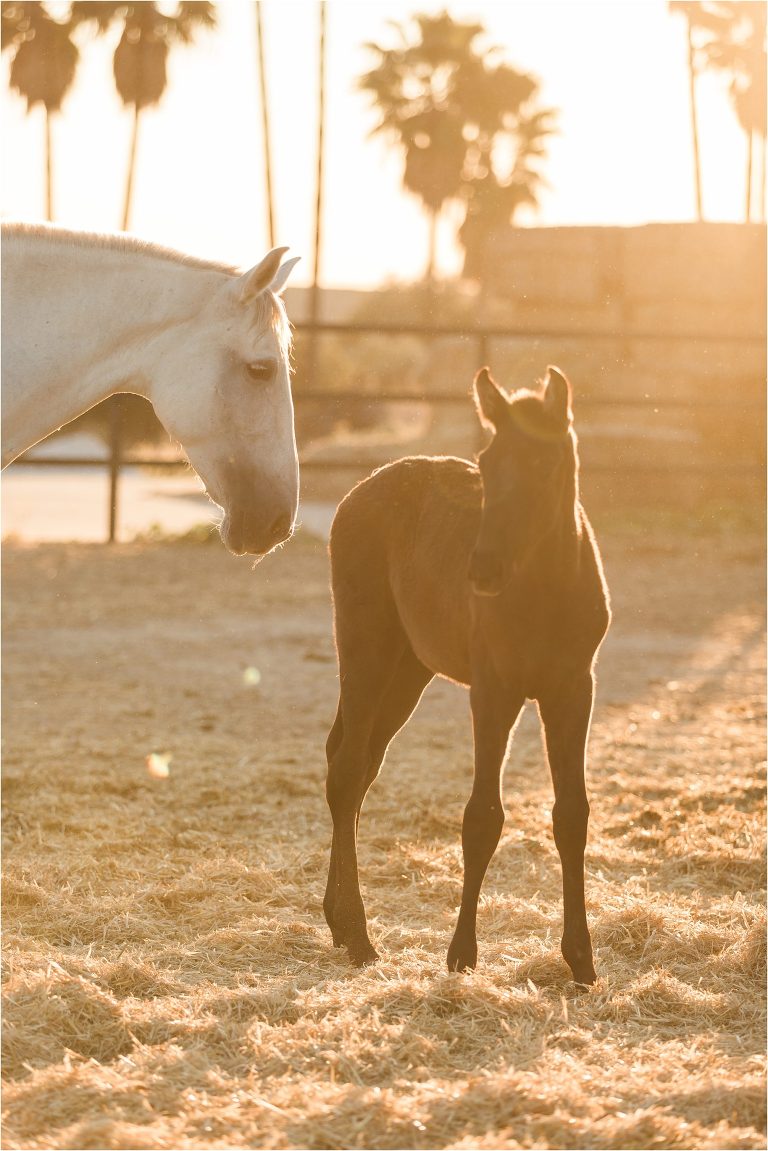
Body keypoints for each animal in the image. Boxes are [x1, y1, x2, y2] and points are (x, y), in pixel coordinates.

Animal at [323, 365, 611, 985]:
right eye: (488, 461)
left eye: (545, 463)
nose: (483, 569)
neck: (545, 592)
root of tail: (358, 492)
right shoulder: (493, 692)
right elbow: (482, 817)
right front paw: (461, 954)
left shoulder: (573, 689)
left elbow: (571, 814)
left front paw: (581, 960)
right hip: (366, 650)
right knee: (347, 771)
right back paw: (358, 936)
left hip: (408, 669)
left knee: (357, 768)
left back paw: (337, 919)